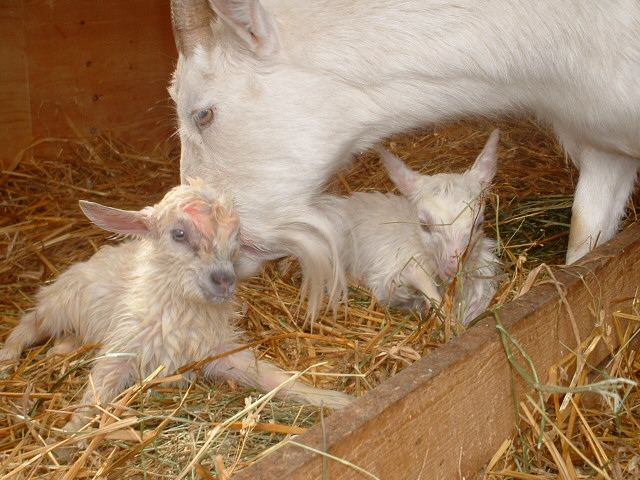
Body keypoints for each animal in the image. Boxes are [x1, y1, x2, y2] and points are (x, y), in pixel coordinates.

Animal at [0, 179, 352, 432]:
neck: (179, 312)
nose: (224, 280)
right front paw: (70, 435)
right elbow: (97, 394)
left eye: (236, 240)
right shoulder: (122, 349)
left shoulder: (216, 352)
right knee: (28, 323)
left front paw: (333, 400)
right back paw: (8, 358)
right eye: (179, 234)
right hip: (59, 301)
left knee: (66, 337)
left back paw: (57, 353)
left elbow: (271, 377)